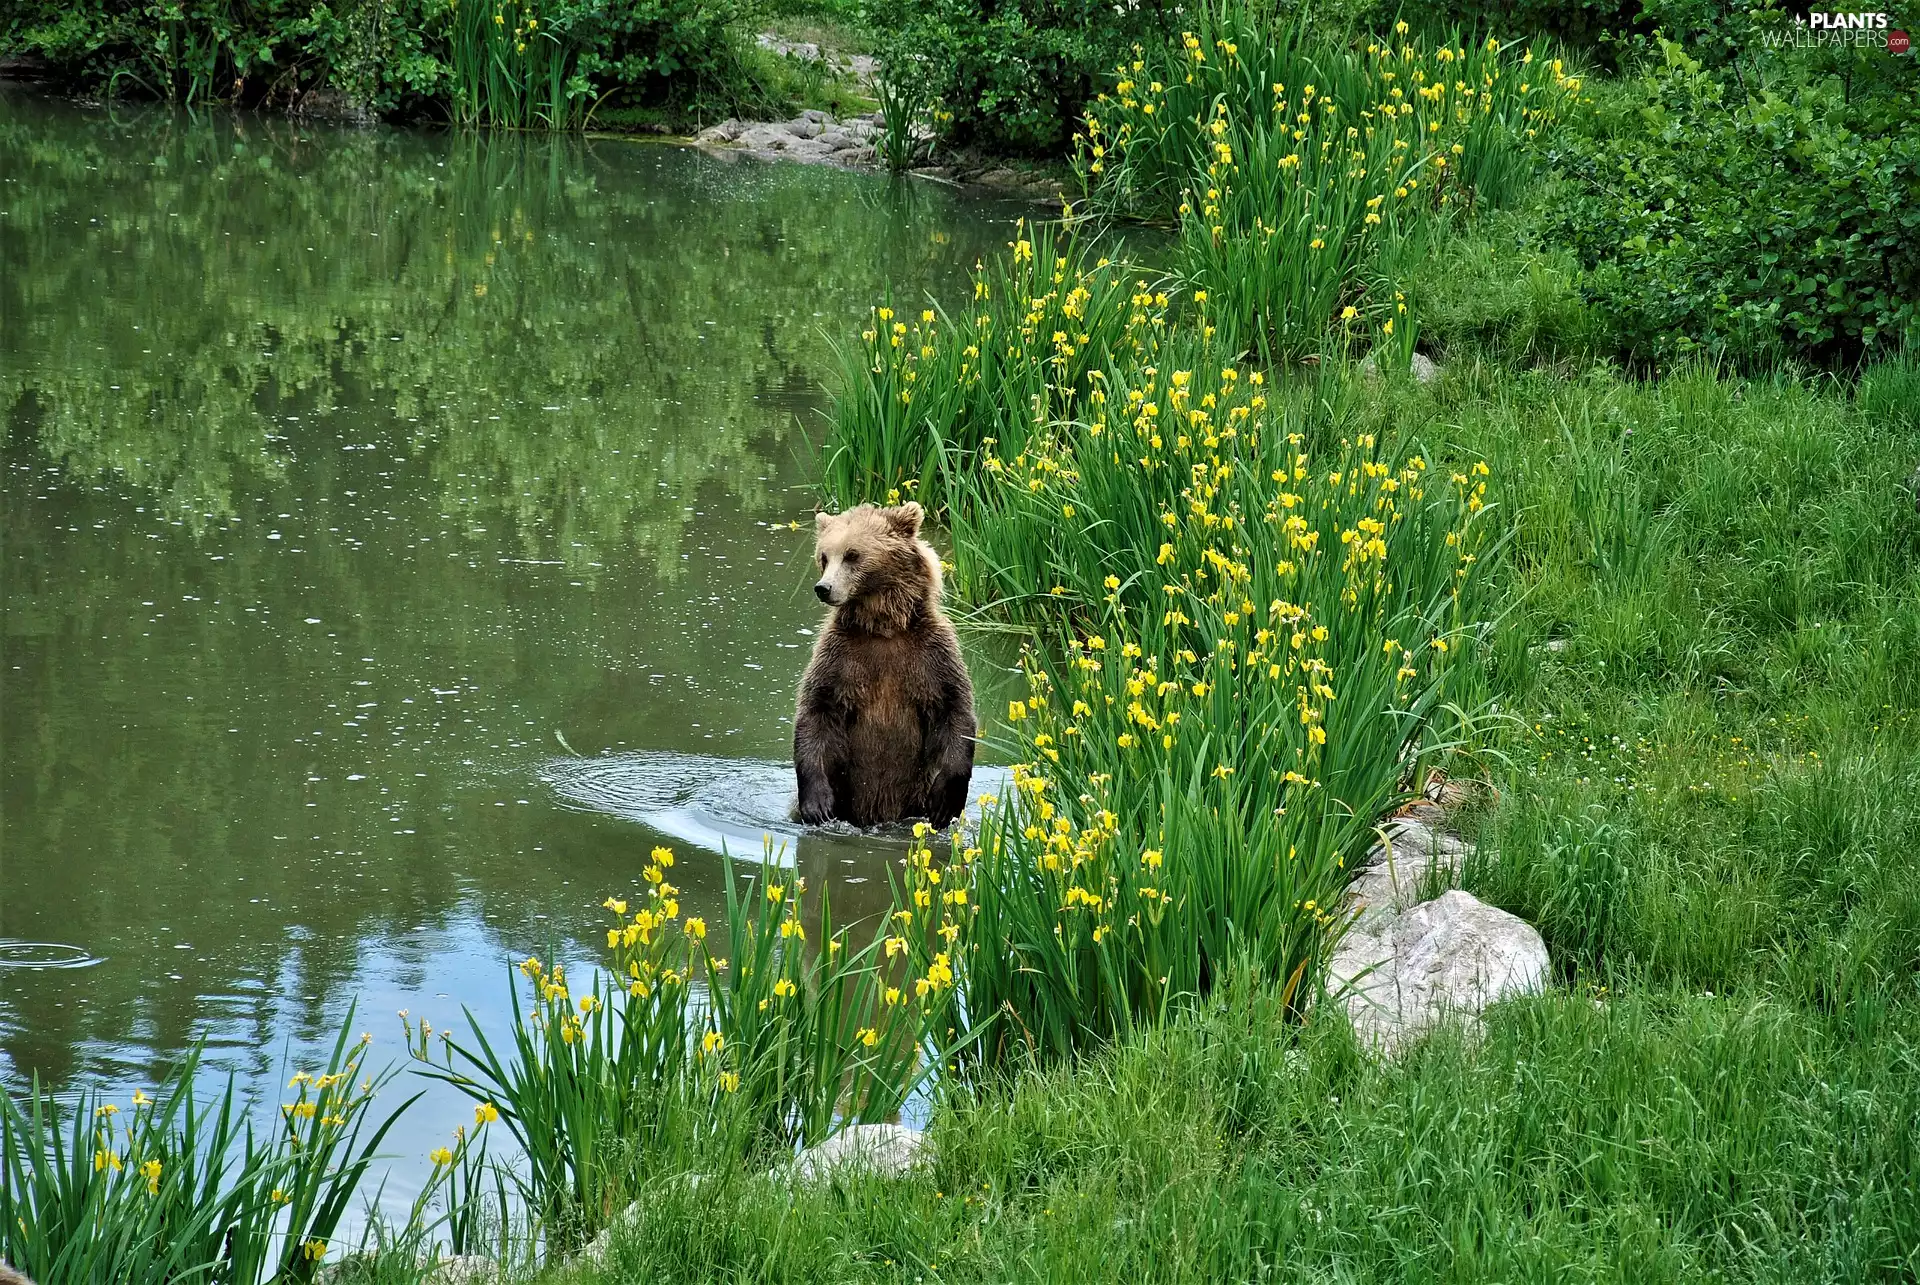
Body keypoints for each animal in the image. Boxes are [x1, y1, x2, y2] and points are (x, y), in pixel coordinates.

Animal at [794, 502, 976, 828]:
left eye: (852, 554)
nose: (823, 588)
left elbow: (955, 710)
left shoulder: (932, 655)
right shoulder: (839, 657)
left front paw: (944, 804)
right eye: (824, 557)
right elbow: (816, 711)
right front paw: (817, 806)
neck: (883, 628)